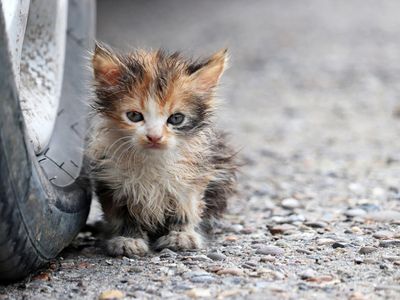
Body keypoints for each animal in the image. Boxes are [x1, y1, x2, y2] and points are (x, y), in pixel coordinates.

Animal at [87, 43, 236, 256]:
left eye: (176, 119)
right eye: (134, 116)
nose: (154, 137)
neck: (152, 160)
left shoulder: (193, 177)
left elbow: (186, 209)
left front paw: (181, 236)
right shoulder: (113, 181)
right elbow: (123, 215)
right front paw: (128, 239)